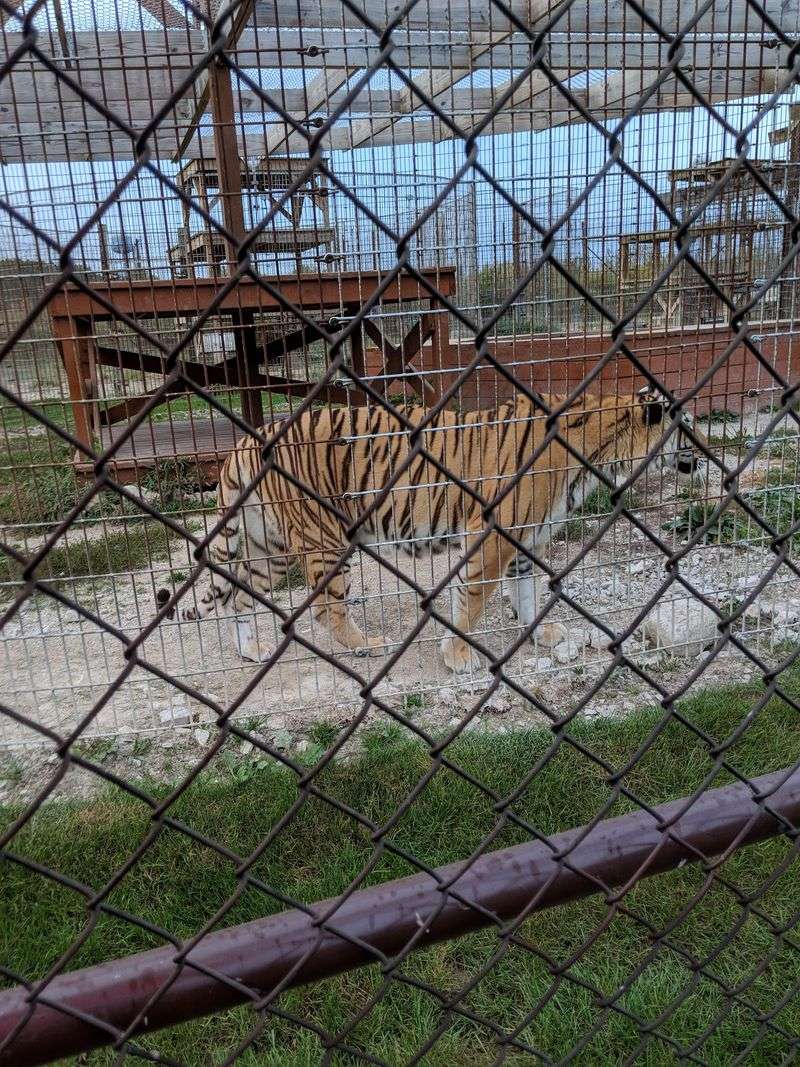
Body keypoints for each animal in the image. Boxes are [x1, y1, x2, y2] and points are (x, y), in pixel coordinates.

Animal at [156, 387, 704, 674]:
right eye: (689, 426)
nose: (704, 454)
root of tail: (247, 443)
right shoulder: (491, 538)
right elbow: (472, 601)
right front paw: (458, 655)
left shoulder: (524, 540)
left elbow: (525, 593)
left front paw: (541, 635)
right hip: (324, 539)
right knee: (325, 607)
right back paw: (364, 644)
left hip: (265, 544)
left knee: (237, 596)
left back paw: (251, 650)